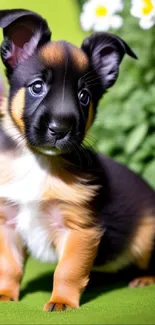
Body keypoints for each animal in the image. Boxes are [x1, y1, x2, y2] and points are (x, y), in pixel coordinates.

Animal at [0, 8, 155, 312]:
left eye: (84, 96)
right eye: (37, 87)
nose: (60, 129)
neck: (39, 162)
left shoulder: (79, 230)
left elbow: (68, 270)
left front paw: (62, 300)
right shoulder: (8, 223)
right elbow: (9, 265)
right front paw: (5, 294)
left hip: (148, 238)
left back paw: (144, 278)